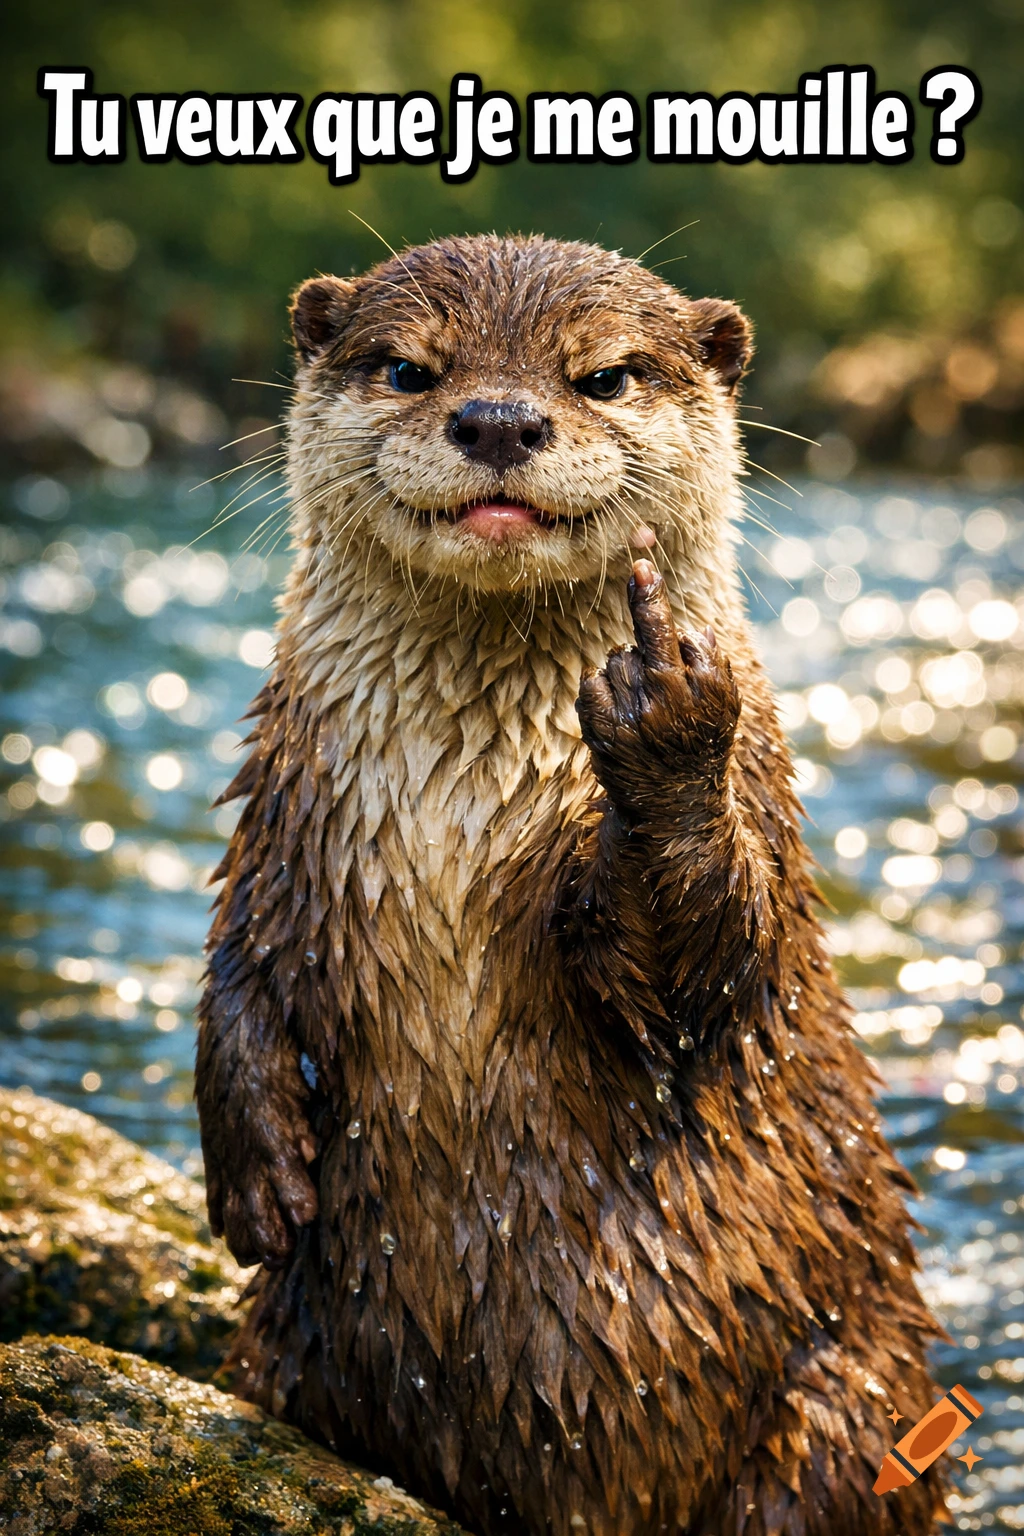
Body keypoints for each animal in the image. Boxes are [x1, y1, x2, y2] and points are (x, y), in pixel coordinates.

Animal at [196, 234, 944, 1536]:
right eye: (409, 367)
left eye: (602, 376)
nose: (498, 420)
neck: (455, 805)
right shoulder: (282, 816)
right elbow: (238, 965)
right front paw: (260, 1178)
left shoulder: (746, 822)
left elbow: (705, 971)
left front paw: (660, 706)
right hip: (282, 1356)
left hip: (839, 1406)